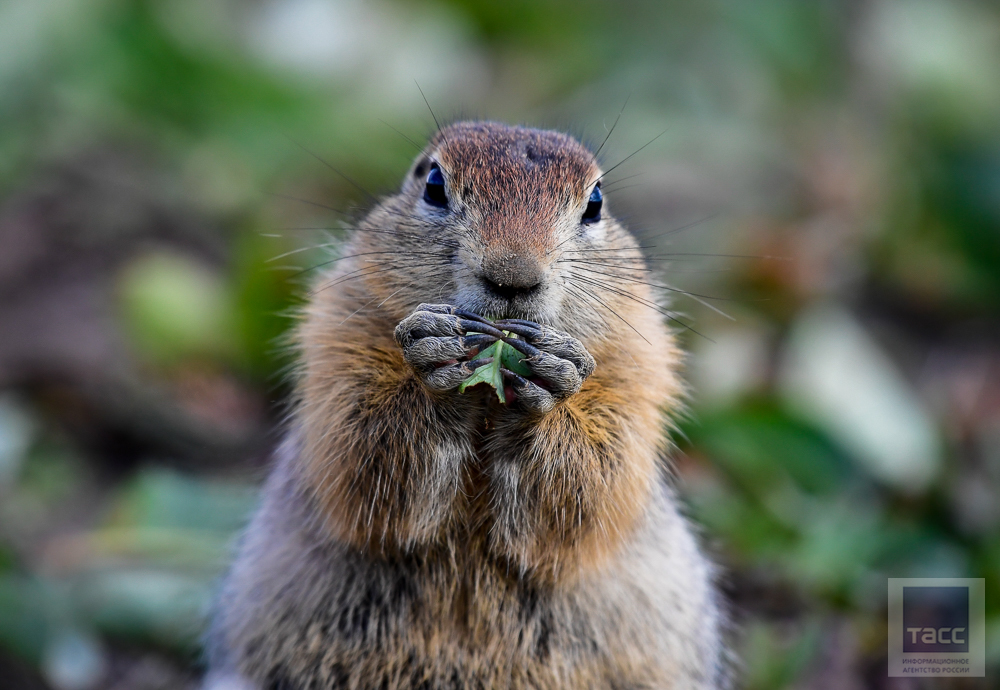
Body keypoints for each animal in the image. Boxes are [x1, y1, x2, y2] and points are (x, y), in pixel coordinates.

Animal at [205, 121, 728, 684]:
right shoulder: (338, 331)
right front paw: (436, 357)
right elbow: (359, 450)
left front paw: (552, 380)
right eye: (434, 184)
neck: (488, 404)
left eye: (595, 203)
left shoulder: (639, 366)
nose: (512, 276)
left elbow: (595, 484)